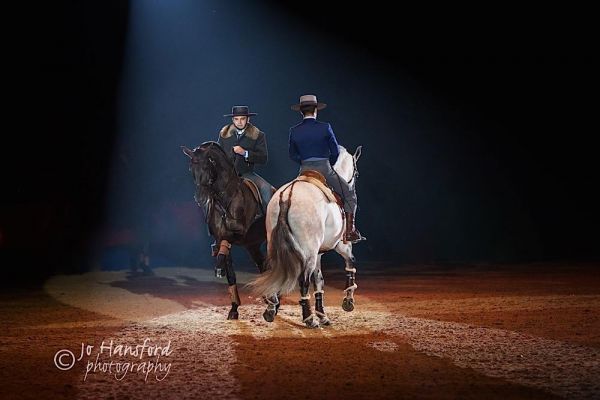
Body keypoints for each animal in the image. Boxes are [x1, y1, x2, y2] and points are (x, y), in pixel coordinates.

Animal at [182, 141, 266, 318]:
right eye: (190, 168)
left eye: (206, 165)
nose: (199, 197)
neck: (226, 196)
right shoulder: (221, 237)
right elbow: (231, 274)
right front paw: (234, 309)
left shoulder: (239, 234)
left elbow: (225, 246)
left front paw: (218, 266)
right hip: (253, 245)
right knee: (263, 265)